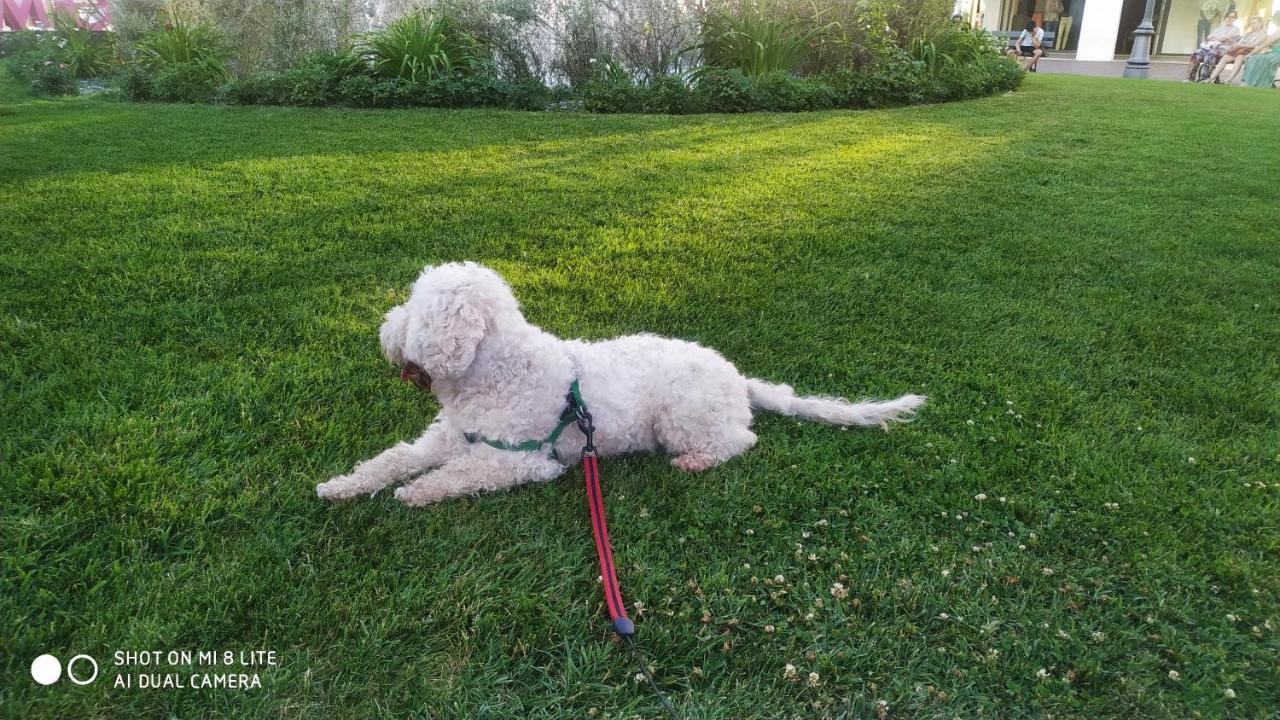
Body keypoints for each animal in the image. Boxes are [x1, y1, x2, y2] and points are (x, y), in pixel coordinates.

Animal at [316, 262, 926, 504]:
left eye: (416, 312)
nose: (384, 329)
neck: (496, 374)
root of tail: (737, 376)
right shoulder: (447, 436)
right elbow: (395, 458)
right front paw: (343, 485)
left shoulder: (521, 461)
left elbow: (458, 475)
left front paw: (415, 493)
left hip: (681, 416)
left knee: (741, 440)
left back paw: (696, 461)